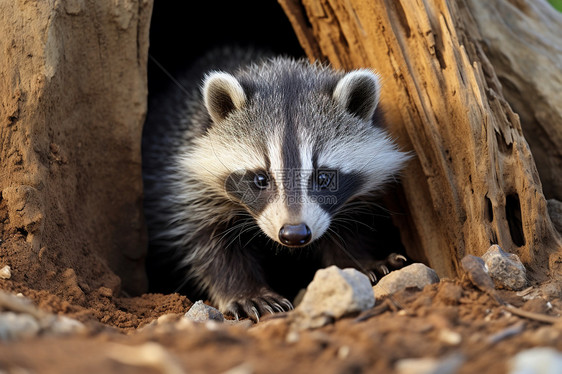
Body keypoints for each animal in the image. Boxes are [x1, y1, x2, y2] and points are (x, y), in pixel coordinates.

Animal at [142, 48, 410, 320]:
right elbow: (209, 245)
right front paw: (245, 291)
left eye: (323, 178)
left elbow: (350, 229)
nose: (294, 233)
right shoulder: (190, 188)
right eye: (261, 179)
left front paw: (361, 262)